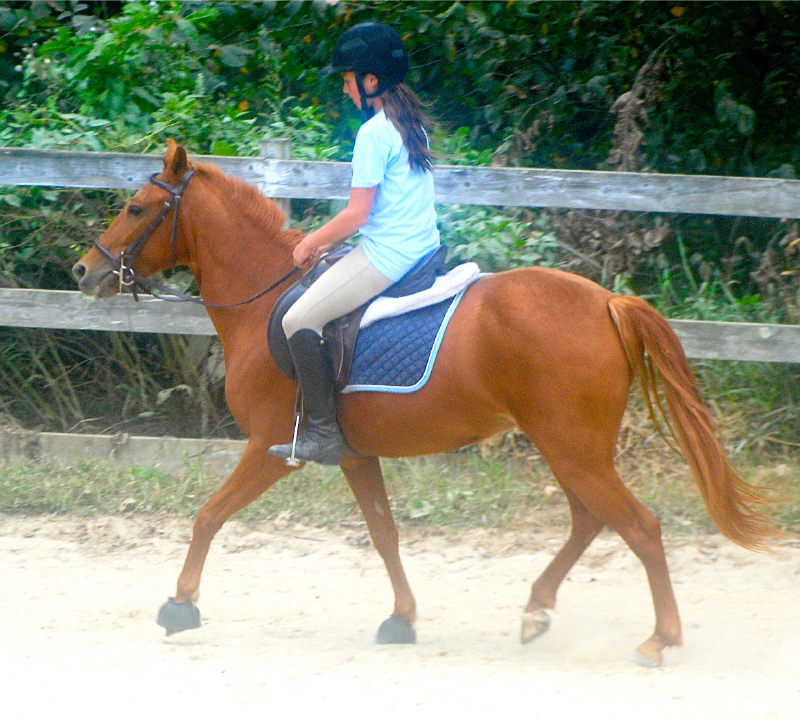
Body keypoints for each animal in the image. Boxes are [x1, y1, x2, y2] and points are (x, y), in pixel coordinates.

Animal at [72, 140, 777, 667]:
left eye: (136, 208)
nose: (84, 272)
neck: (265, 295)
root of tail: (607, 301)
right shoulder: (354, 455)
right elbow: (384, 534)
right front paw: (402, 619)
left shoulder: (273, 448)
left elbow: (208, 515)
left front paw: (180, 605)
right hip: (570, 448)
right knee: (590, 520)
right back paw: (537, 610)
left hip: (572, 448)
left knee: (640, 527)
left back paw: (659, 639)